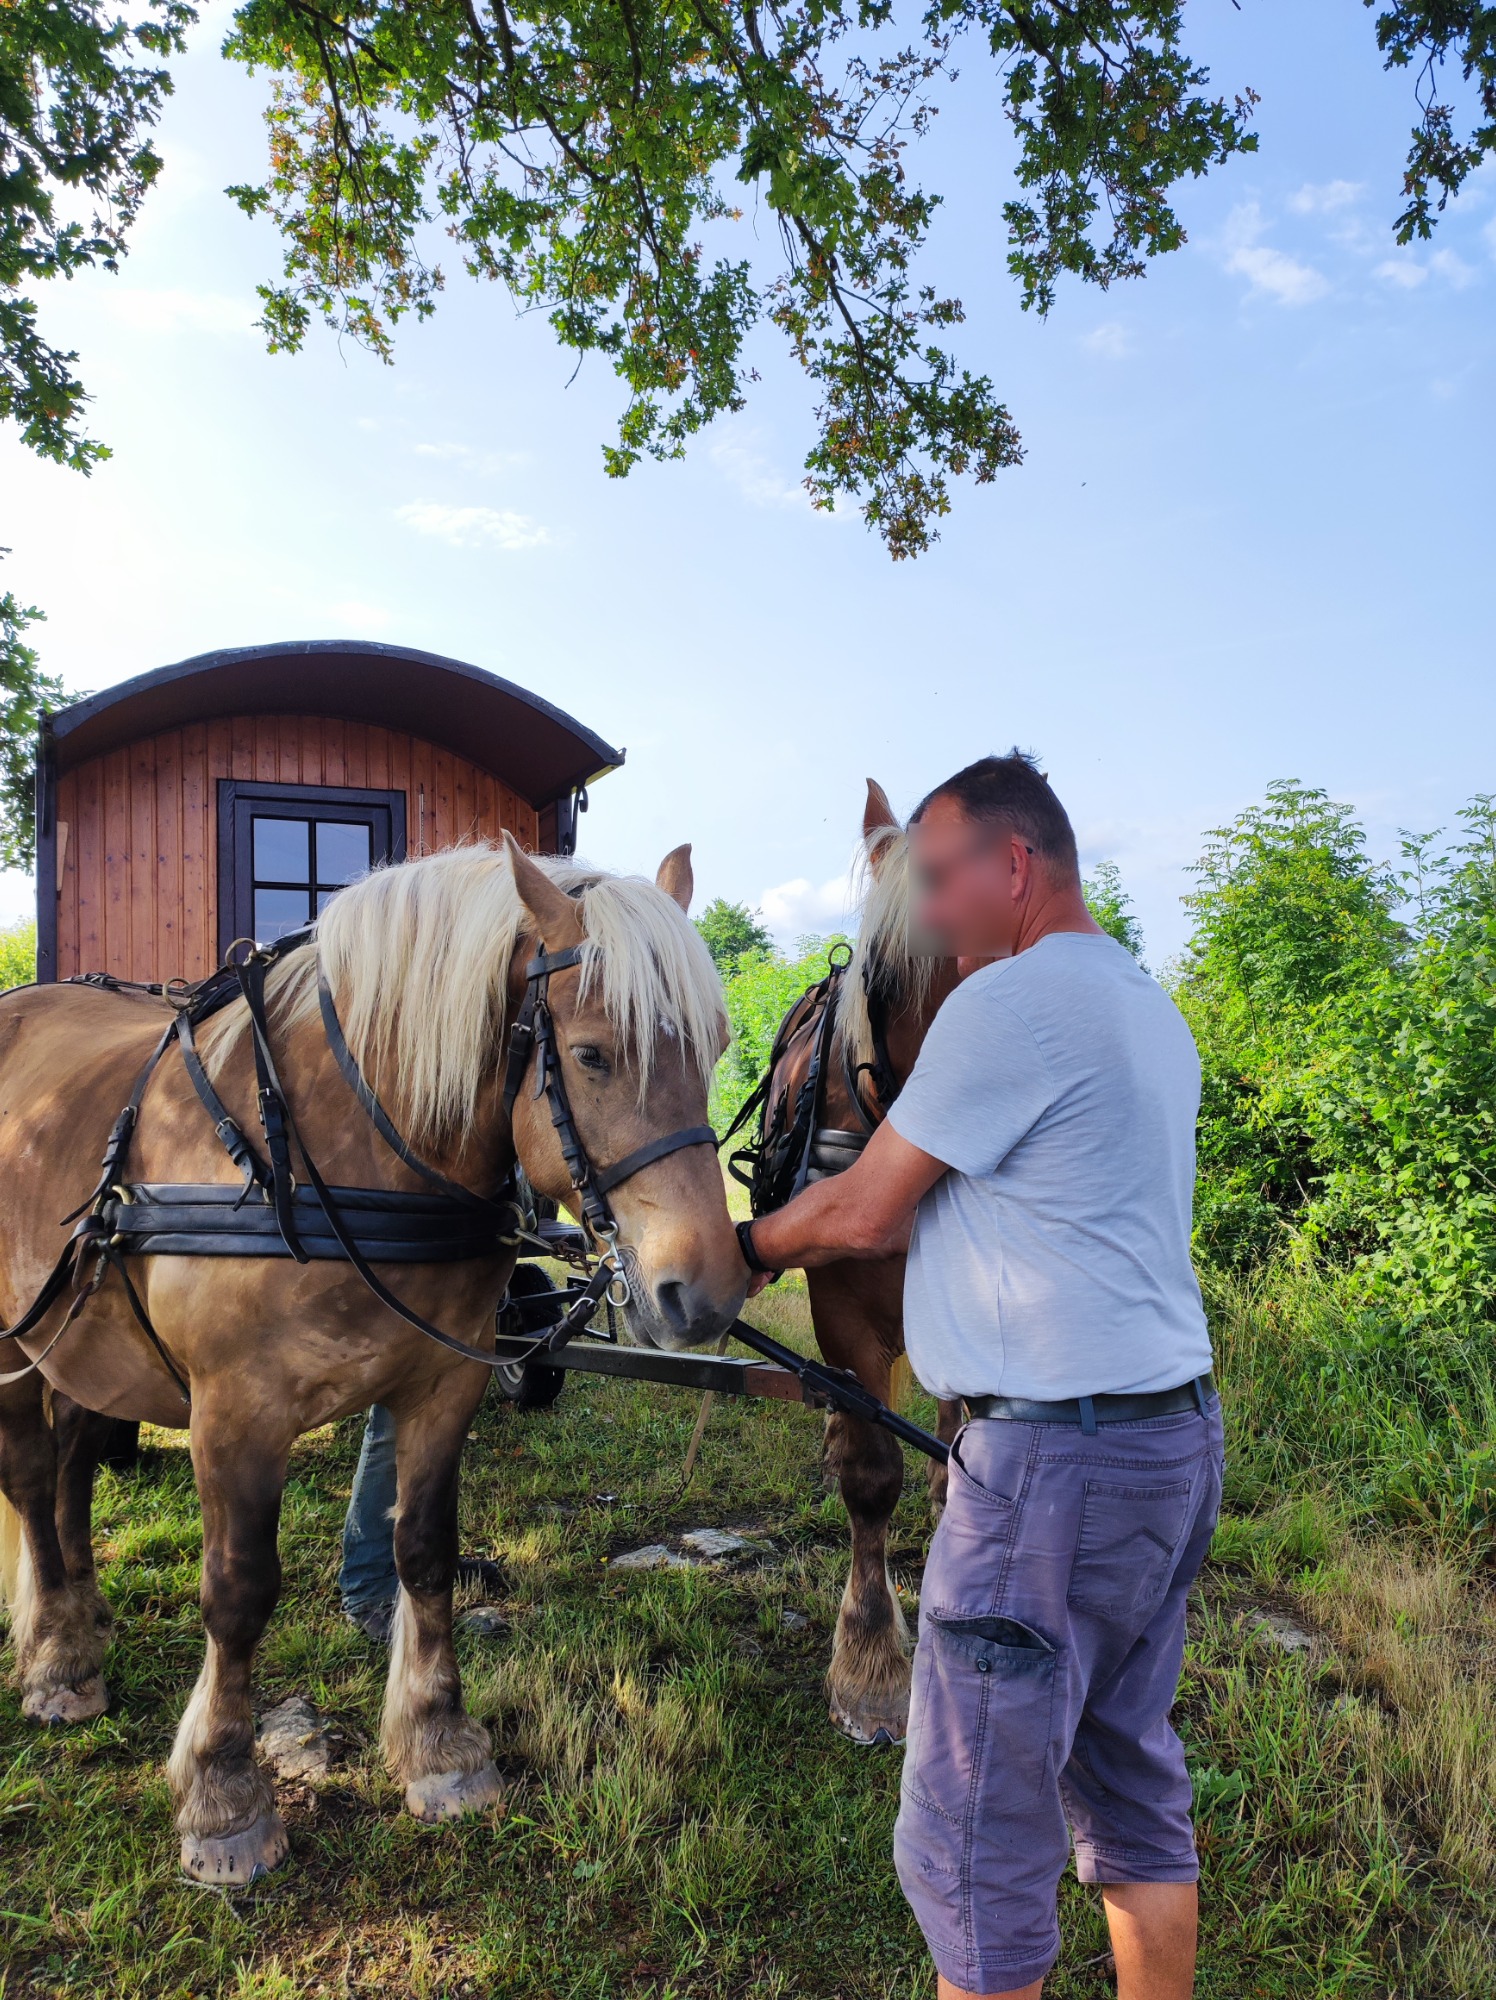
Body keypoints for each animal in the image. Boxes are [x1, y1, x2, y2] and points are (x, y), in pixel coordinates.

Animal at [0, 836, 744, 1880]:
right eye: (593, 1053)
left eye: (714, 1049)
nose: (705, 1294)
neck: (329, 1151)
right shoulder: (236, 1416)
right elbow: (238, 1592)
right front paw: (223, 1794)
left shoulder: (443, 1384)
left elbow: (424, 1554)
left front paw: (438, 1745)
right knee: (32, 1477)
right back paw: (58, 1659)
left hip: (81, 1345)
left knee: (69, 1466)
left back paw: (79, 1621)